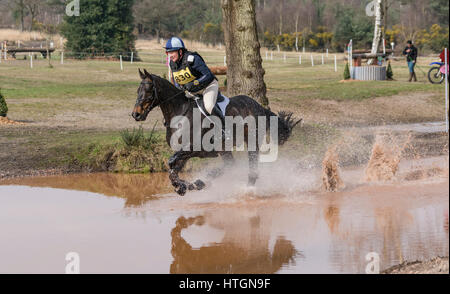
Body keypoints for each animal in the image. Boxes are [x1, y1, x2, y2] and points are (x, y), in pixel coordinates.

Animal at [132, 69, 300, 196]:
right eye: (137, 90)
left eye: (148, 91)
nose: (136, 115)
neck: (180, 113)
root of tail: (259, 106)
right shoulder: (185, 152)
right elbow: (173, 168)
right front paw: (183, 186)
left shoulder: (194, 149)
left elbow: (171, 162)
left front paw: (184, 185)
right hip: (224, 149)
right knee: (230, 164)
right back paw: (201, 182)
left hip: (252, 140)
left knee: (250, 167)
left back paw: (245, 189)